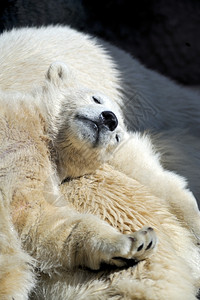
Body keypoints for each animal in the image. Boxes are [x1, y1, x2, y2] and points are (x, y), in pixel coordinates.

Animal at [0, 61, 200, 300]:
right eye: (96, 98)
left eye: (117, 137)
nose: (110, 119)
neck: (43, 133)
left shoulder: (35, 178)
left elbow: (40, 220)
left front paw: (134, 242)